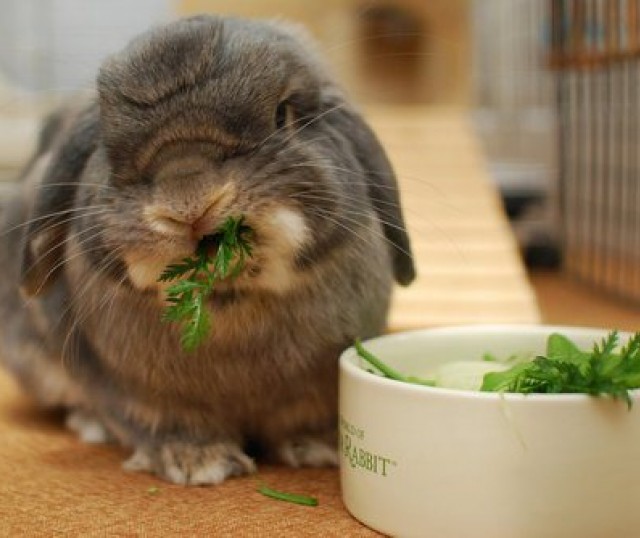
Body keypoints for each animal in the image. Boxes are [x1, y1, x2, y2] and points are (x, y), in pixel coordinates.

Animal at [0, 14, 416, 484]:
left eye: (282, 114)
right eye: (108, 146)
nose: (188, 200)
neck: (230, 301)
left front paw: (317, 447)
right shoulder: (143, 399)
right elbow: (161, 424)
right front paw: (198, 464)